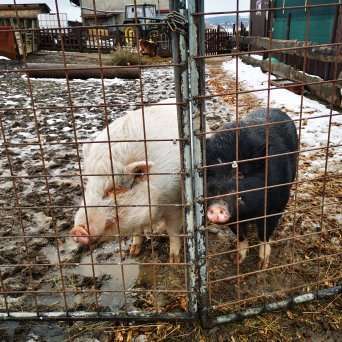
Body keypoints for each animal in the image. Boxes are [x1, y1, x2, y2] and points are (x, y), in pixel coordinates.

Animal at [69, 101, 182, 262]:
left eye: (115, 189)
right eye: (88, 185)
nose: (77, 230)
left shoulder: (174, 203)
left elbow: (173, 232)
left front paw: (174, 261)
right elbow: (137, 230)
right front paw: (133, 252)